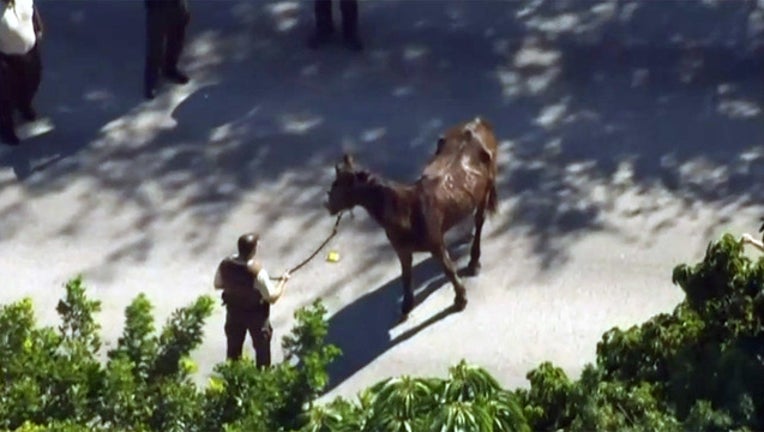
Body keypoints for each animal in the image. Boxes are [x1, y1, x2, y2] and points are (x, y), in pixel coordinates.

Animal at [324, 117, 499, 320]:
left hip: (486, 191)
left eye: (337, 185)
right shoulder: (402, 250)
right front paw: (407, 305)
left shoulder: (436, 244)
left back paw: (474, 263)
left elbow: (448, 269)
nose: (327, 205)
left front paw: (460, 300)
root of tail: (478, 122)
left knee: (480, 220)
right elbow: (406, 275)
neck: (406, 211)